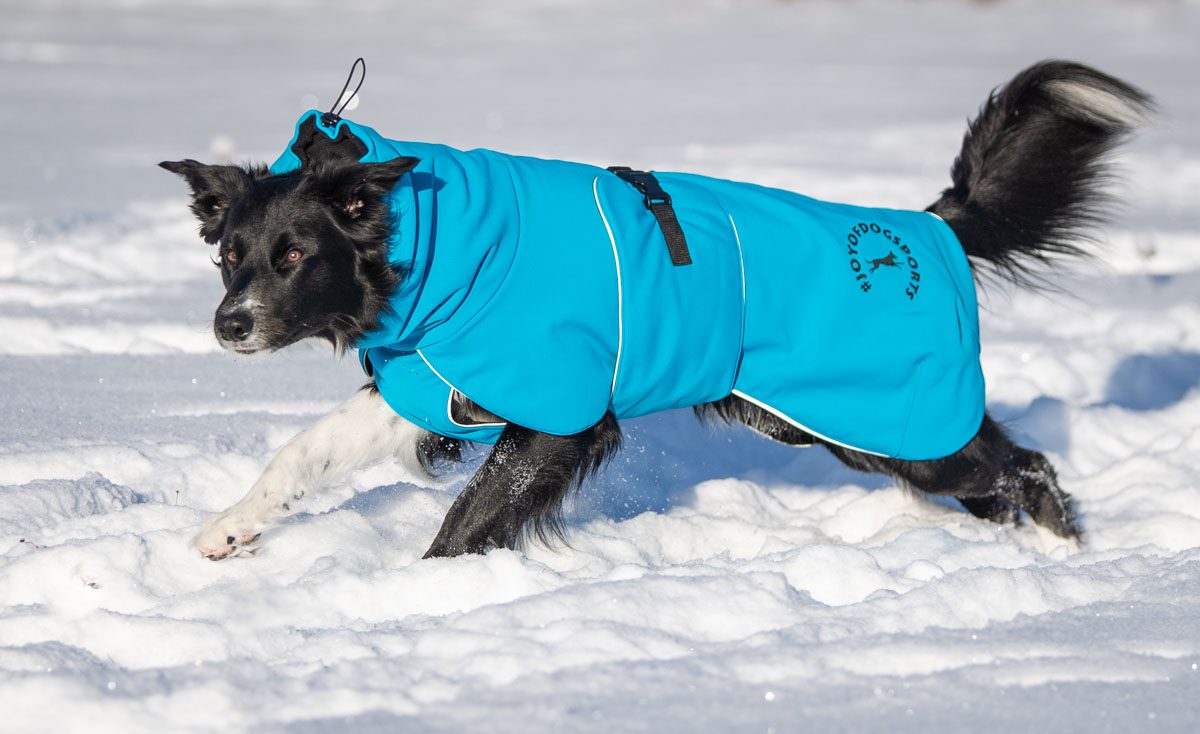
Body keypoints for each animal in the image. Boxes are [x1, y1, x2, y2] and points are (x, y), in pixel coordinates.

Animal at [161, 60, 1151, 560]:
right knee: (997, 478)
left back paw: (1068, 562)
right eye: (228, 256)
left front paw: (431, 597)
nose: (229, 325)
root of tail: (928, 225)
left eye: (295, 256)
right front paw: (227, 528)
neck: (434, 243)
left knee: (1025, 466)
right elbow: (303, 452)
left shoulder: (559, 416)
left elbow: (469, 519)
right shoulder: (433, 382)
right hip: (844, 424)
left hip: (883, 422)